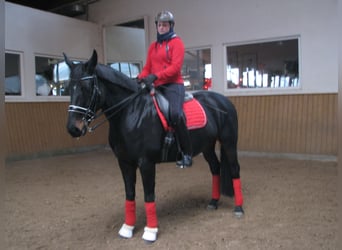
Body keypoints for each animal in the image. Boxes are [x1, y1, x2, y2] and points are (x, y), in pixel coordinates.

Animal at [64, 49, 244, 243]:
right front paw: (127, 228)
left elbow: (149, 195)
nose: (73, 128)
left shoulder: (146, 163)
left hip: (228, 142)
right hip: (207, 146)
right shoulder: (124, 162)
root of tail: (224, 101)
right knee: (215, 168)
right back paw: (213, 202)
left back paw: (239, 208)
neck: (131, 112)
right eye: (68, 88)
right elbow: (129, 194)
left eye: (87, 88)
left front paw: (150, 231)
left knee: (234, 169)